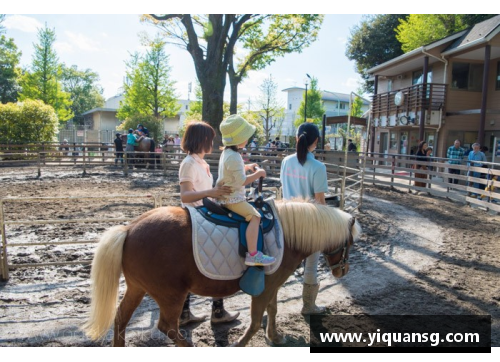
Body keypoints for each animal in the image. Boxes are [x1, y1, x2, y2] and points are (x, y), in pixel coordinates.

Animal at [84, 199, 362, 346]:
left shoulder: (273, 284)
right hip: (171, 295)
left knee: (121, 319)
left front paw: (275, 336)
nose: (343, 271)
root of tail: (129, 229)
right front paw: (241, 344)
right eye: (349, 243)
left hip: (137, 288)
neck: (286, 232)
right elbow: (255, 320)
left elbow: (272, 311)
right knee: (168, 327)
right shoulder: (264, 288)